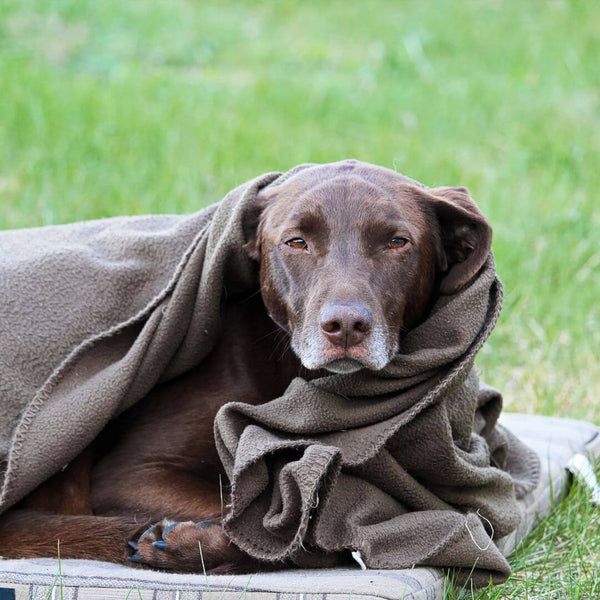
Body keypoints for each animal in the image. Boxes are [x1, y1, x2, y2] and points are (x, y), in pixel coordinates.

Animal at [0, 159, 492, 572]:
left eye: (397, 242)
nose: (346, 326)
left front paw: (188, 544)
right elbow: (263, 517)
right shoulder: (132, 474)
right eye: (296, 242)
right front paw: (188, 542)